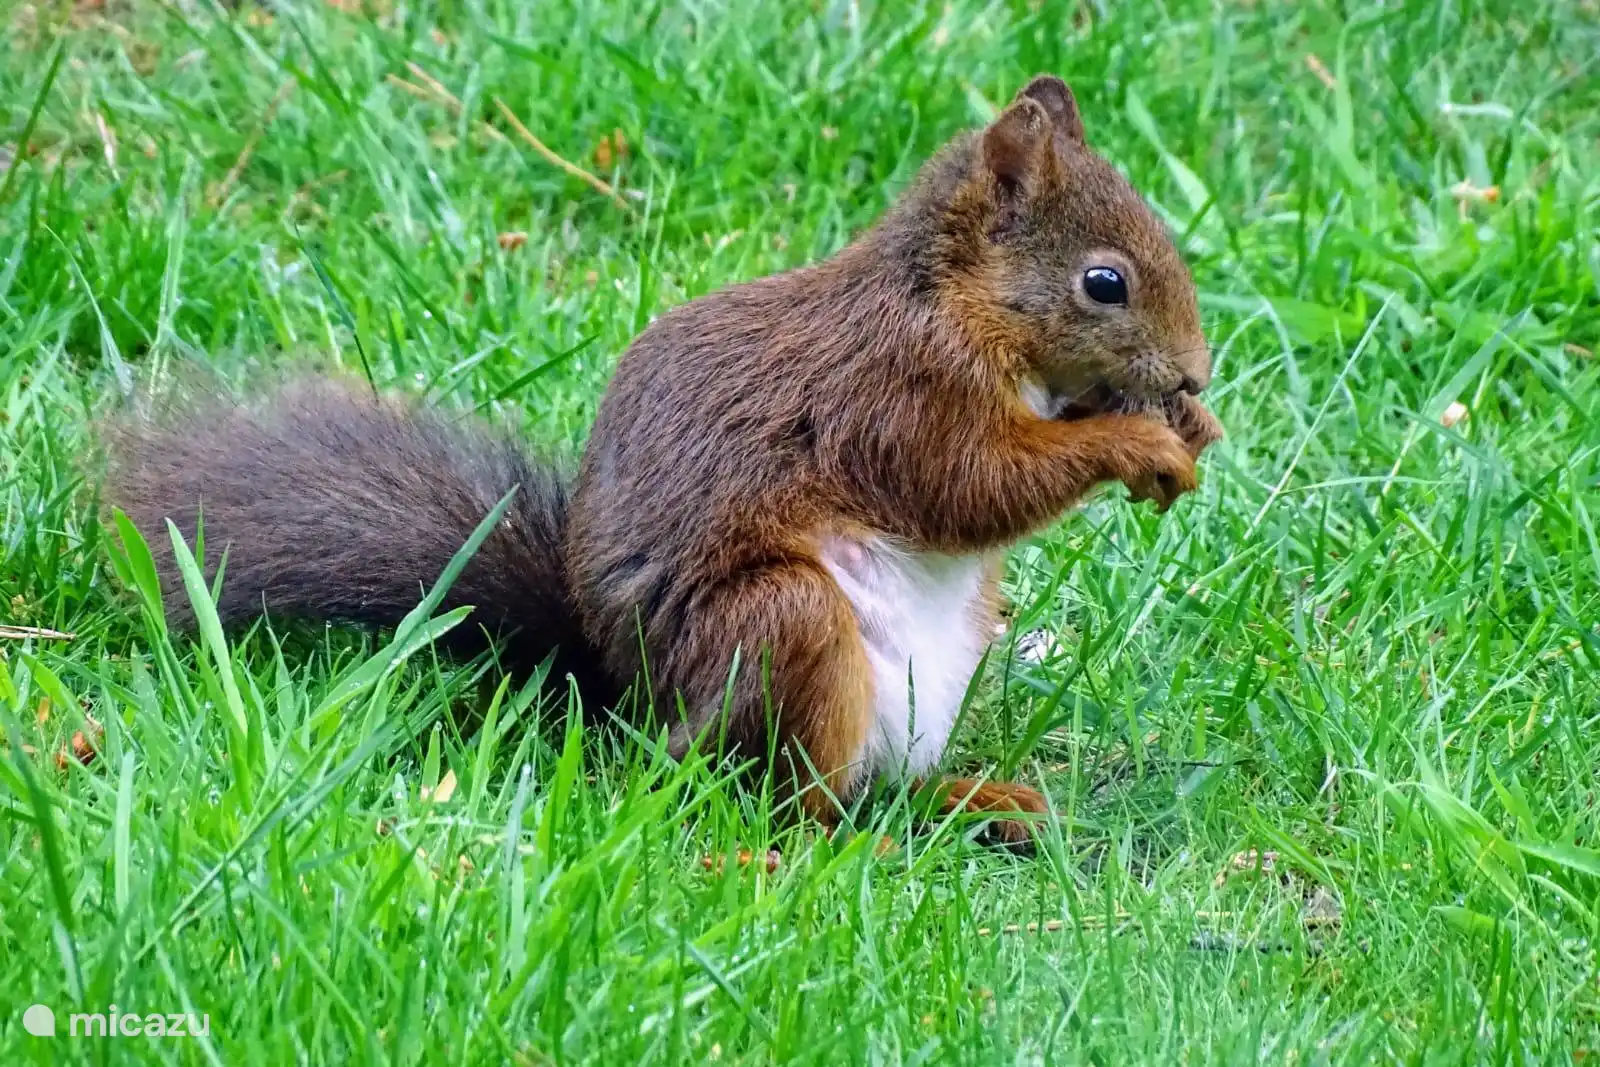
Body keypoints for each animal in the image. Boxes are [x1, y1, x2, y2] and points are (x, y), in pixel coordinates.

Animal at [103, 75, 1222, 844]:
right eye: (1105, 282)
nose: (1199, 376)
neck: (950, 302)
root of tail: (635, 716)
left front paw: (1186, 431)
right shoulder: (892, 398)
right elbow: (971, 488)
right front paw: (1137, 441)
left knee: (875, 790)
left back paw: (971, 797)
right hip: (783, 629)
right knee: (780, 804)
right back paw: (828, 846)